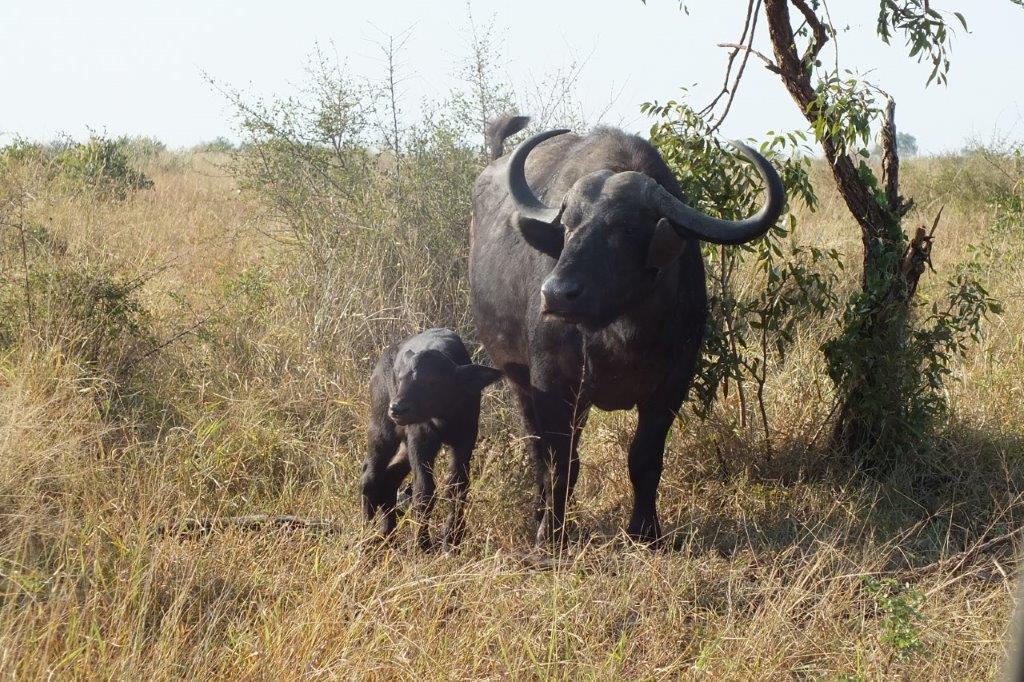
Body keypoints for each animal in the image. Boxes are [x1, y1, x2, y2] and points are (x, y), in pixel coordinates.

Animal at [362, 327, 501, 548]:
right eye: (401, 378)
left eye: (432, 381)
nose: (397, 408)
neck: (442, 416)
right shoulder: (420, 441)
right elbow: (424, 490)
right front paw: (422, 543)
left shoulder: (465, 441)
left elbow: (457, 487)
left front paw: (452, 539)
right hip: (382, 429)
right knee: (370, 476)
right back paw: (365, 531)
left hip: (404, 445)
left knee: (389, 477)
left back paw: (388, 534)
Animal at [471, 115, 782, 540]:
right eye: (568, 226)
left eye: (625, 229)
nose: (556, 294)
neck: (619, 334)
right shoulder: (551, 382)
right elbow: (559, 462)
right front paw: (551, 534)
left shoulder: (671, 386)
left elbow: (644, 458)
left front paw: (645, 530)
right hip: (517, 378)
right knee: (538, 447)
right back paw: (540, 513)